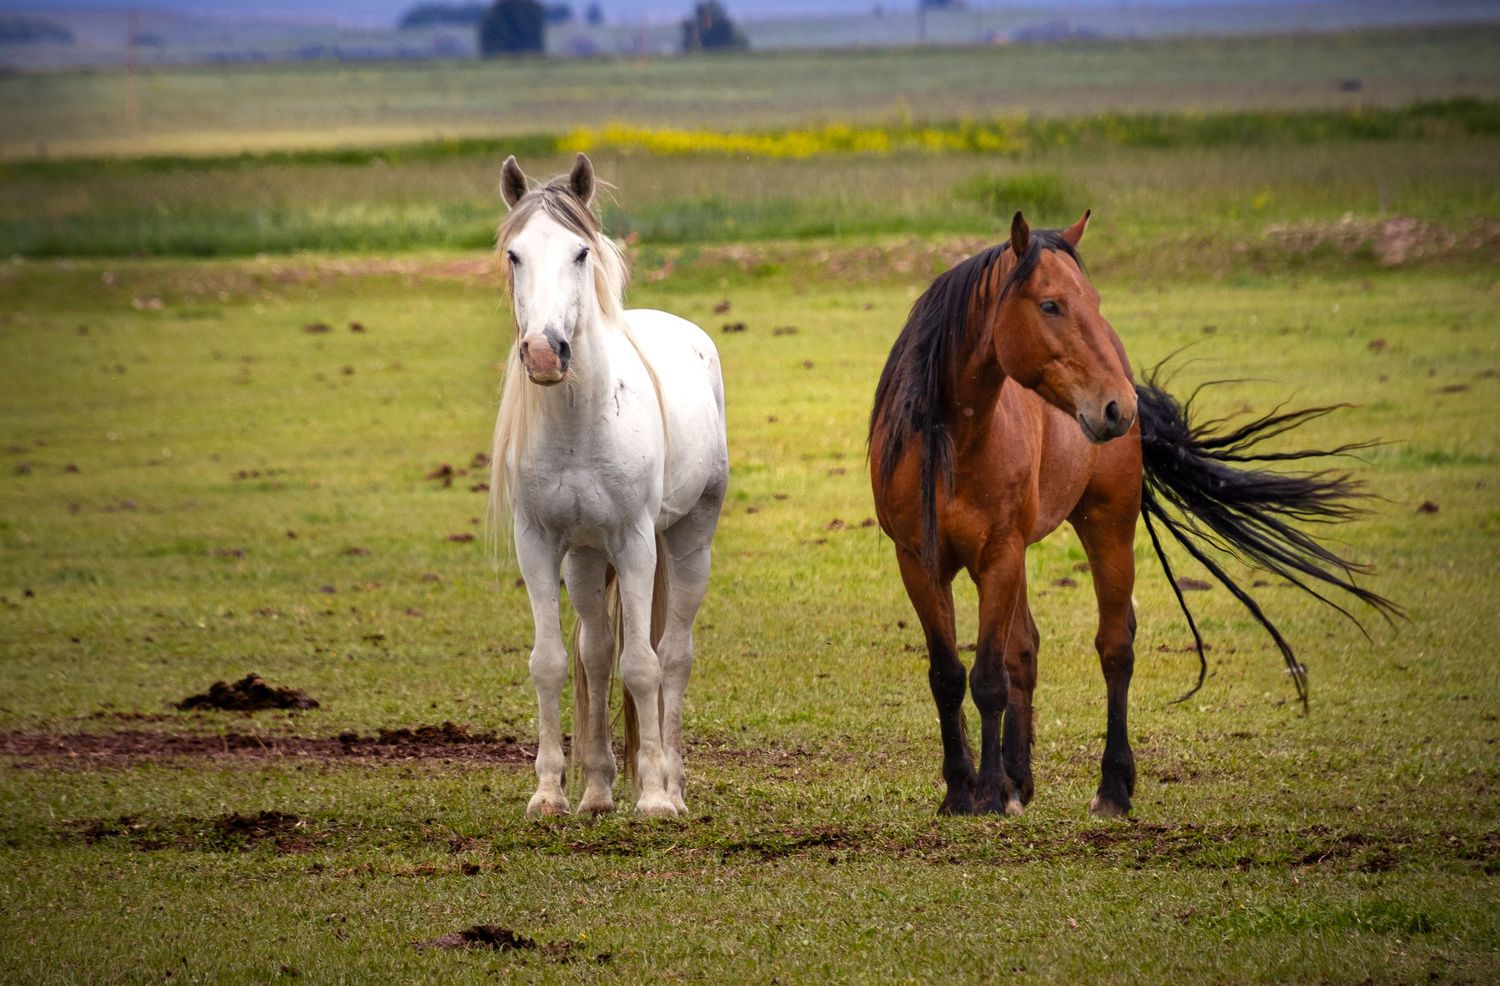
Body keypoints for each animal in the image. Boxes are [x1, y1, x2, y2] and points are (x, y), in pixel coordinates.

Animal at [490, 153, 728, 818]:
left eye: (580, 252)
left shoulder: (636, 541)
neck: (580, 423)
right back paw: (596, 788)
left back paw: (672, 782)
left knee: (674, 655)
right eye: (514, 254)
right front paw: (548, 792)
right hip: (587, 559)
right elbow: (551, 662)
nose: (545, 352)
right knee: (595, 654)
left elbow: (643, 666)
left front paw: (653, 798)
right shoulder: (539, 543)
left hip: (689, 539)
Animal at [868, 211, 1397, 817]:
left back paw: (1112, 788)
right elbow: (950, 676)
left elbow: (988, 679)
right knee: (1025, 650)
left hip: (1107, 526)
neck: (952, 440)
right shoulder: (920, 562)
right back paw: (1020, 781)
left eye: (1093, 299)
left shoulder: (999, 555)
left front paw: (988, 794)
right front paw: (962, 792)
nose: (1117, 406)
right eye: (1050, 304)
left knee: (1114, 648)